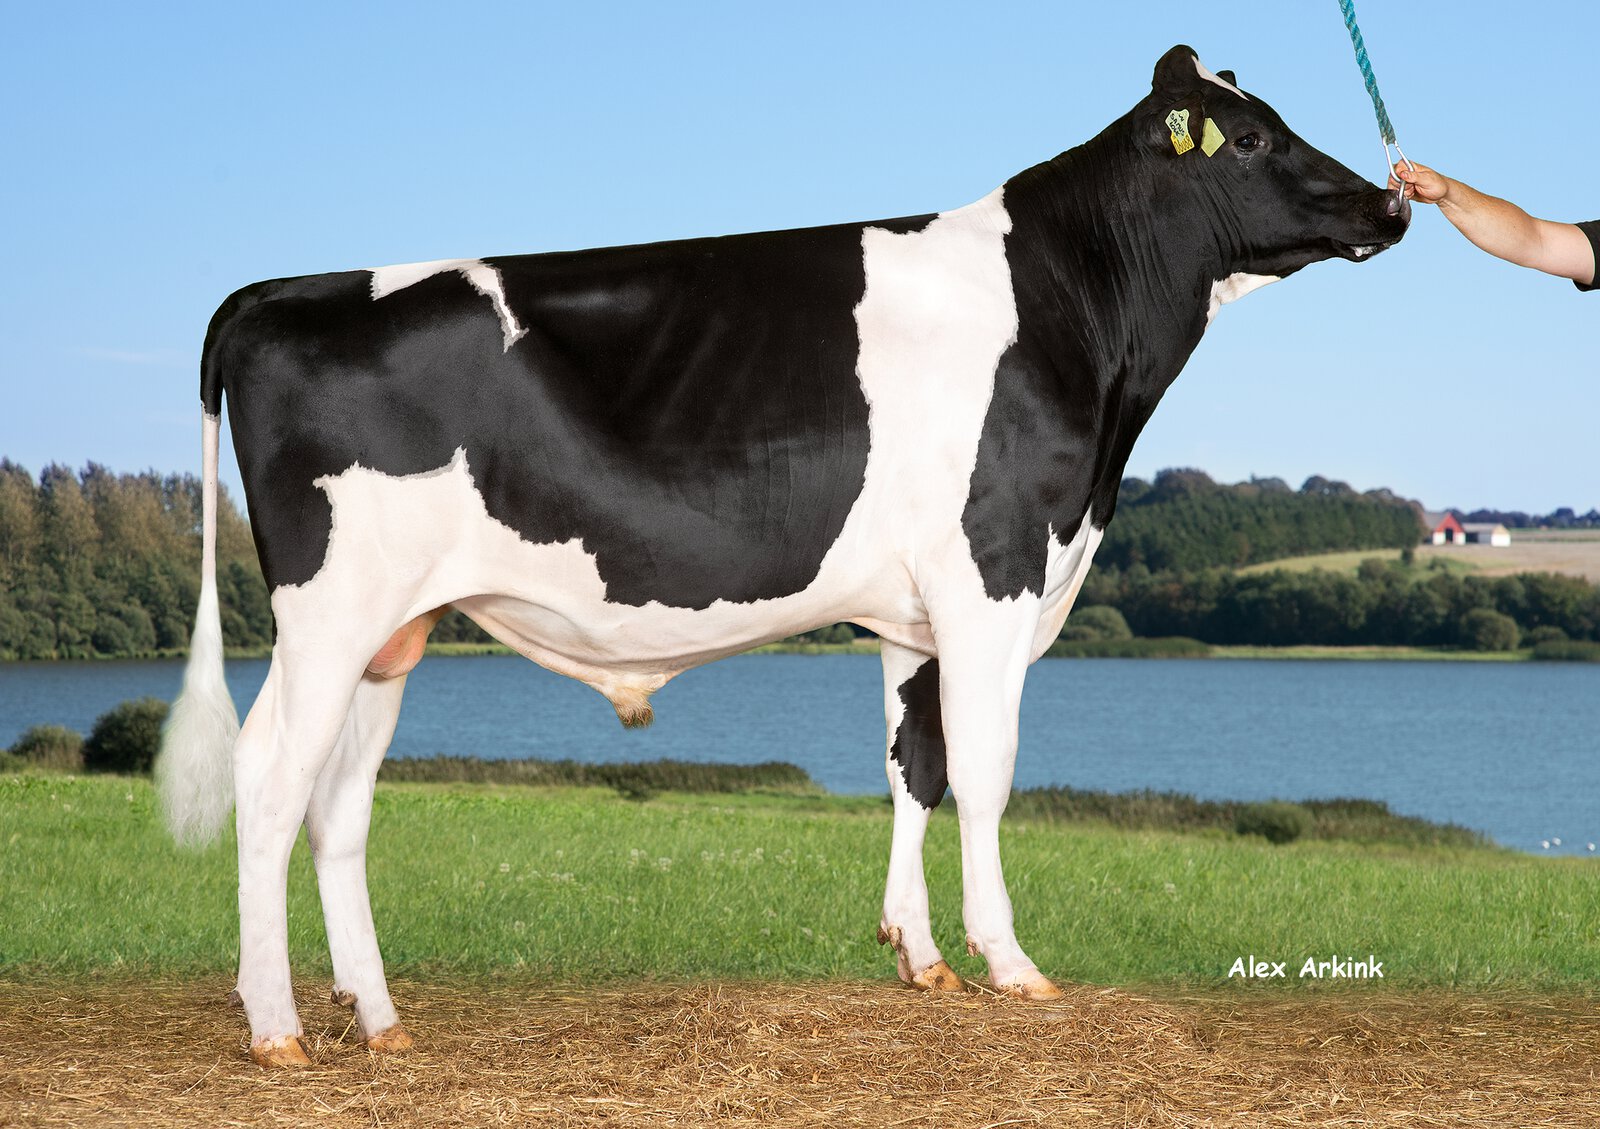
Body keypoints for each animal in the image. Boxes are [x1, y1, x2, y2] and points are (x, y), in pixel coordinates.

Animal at [157, 45, 1408, 1066]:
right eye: (1252, 138)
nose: (1390, 204)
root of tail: (279, 291)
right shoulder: (993, 568)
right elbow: (989, 768)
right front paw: (1009, 964)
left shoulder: (915, 613)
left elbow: (917, 765)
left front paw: (920, 957)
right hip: (329, 606)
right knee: (270, 774)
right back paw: (275, 1028)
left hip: (392, 630)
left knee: (340, 805)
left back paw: (378, 1018)